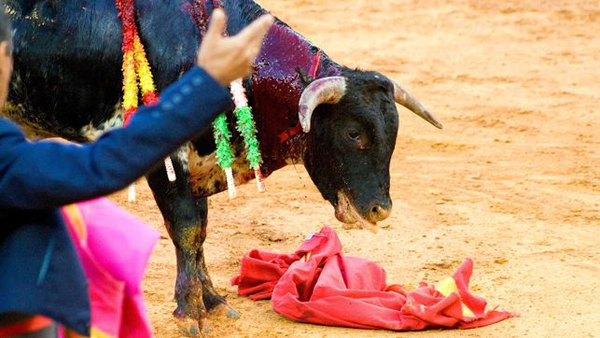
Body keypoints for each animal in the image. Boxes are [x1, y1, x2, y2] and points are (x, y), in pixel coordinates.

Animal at [1, 0, 440, 328]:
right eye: (353, 133)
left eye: (393, 134)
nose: (381, 210)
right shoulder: (167, 158)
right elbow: (187, 229)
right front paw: (189, 312)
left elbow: (200, 232)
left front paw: (211, 300)